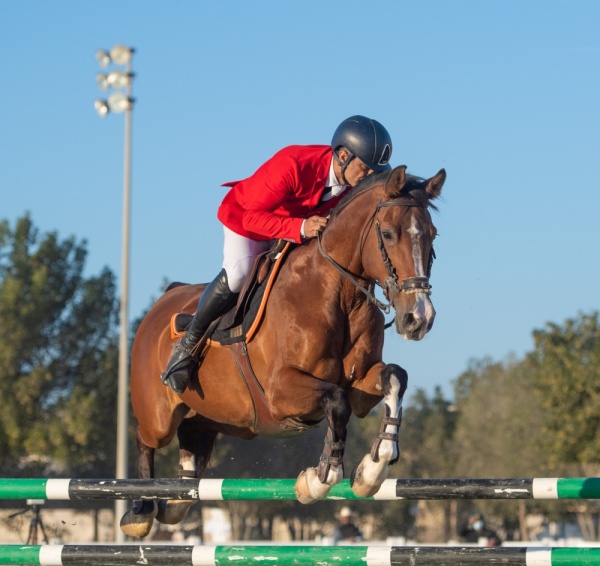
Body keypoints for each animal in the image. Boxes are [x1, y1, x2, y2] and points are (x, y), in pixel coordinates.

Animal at [120, 164, 446, 536]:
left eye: (433, 235)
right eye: (389, 235)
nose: (418, 319)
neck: (339, 294)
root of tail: (164, 300)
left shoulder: (361, 384)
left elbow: (393, 379)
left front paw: (373, 468)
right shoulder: (280, 392)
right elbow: (337, 401)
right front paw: (320, 478)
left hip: (212, 416)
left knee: (190, 444)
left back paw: (176, 501)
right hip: (159, 416)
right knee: (145, 438)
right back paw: (141, 510)